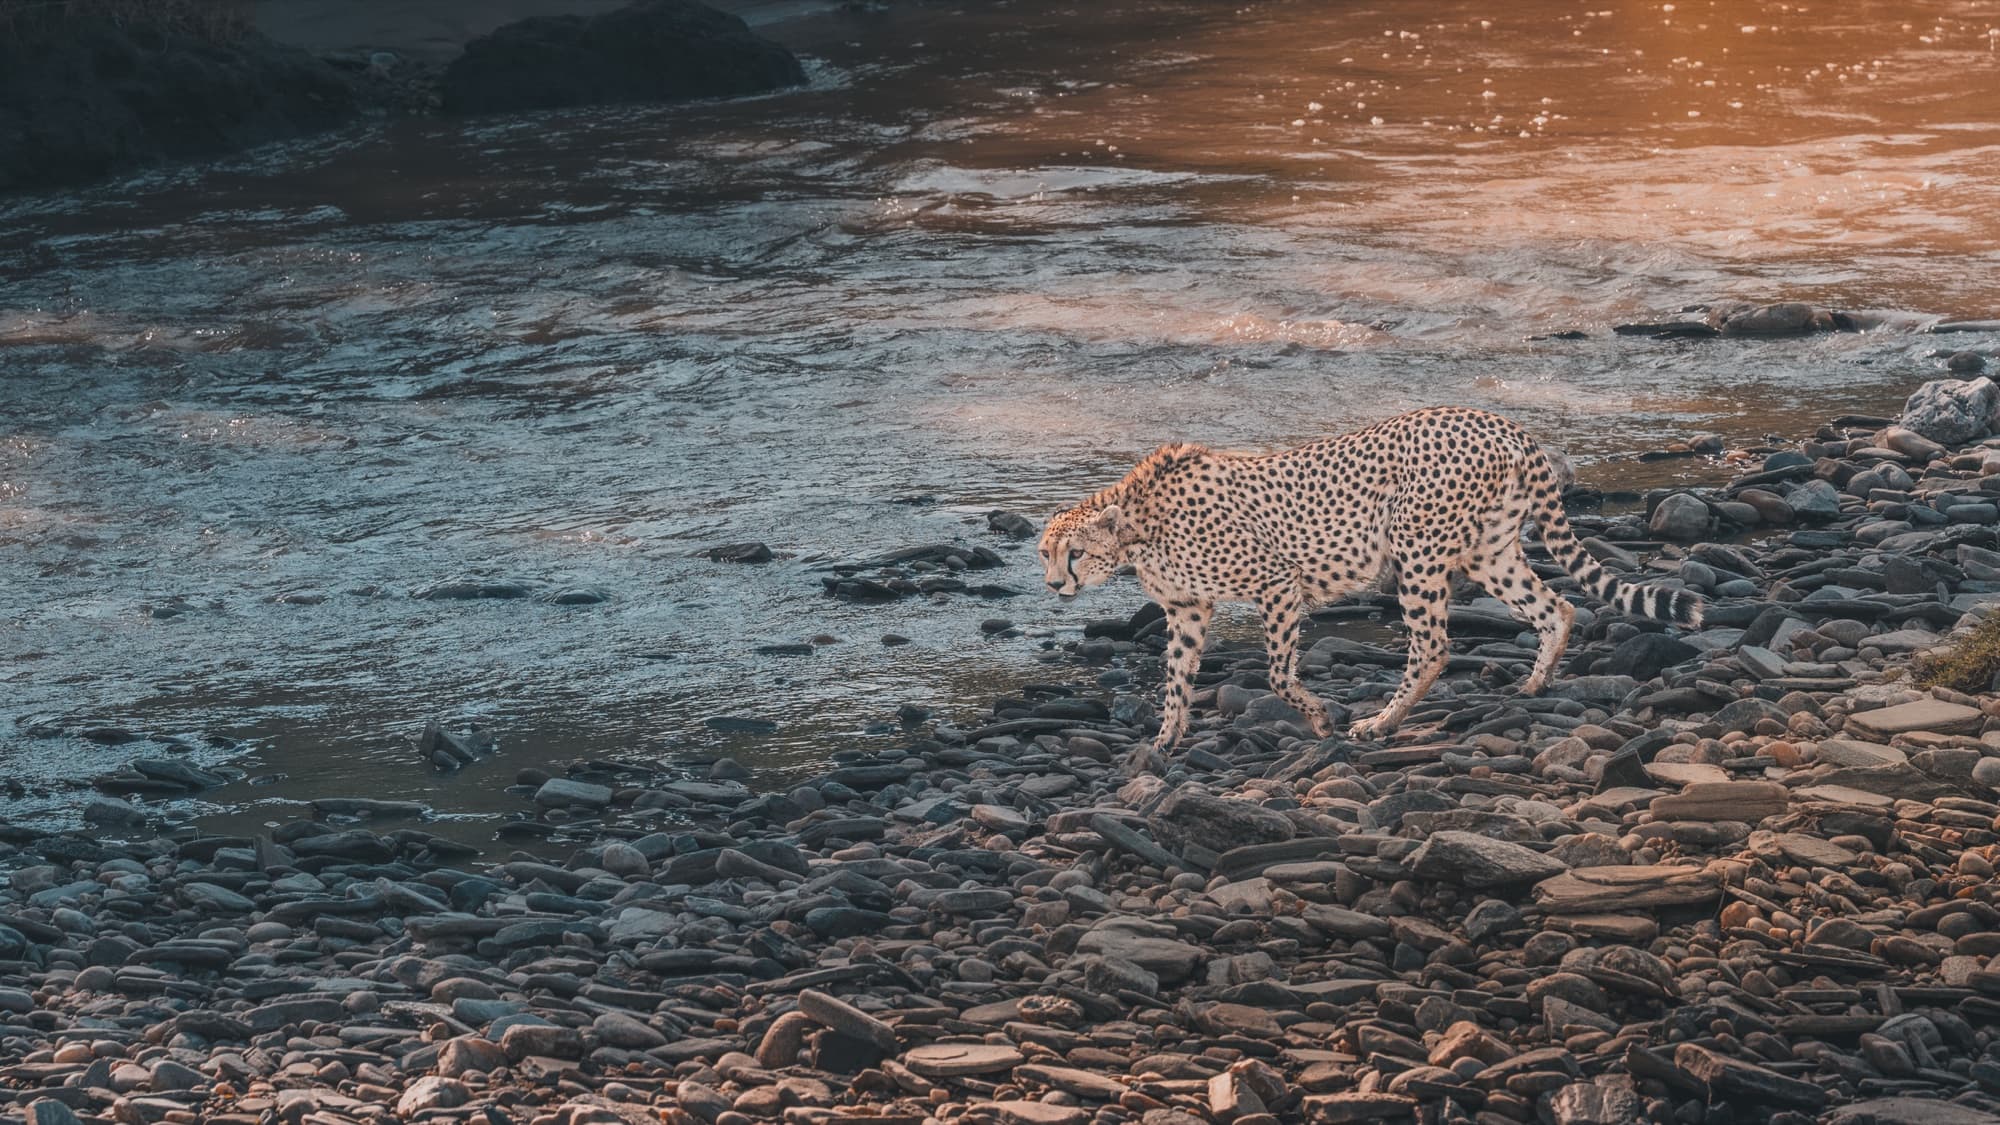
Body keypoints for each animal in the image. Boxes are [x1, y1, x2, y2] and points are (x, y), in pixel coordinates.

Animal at [1039, 406, 1703, 764]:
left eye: (1075, 553)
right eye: (1046, 553)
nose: (1052, 585)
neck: (1137, 525)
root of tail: (1500, 422)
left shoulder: (1278, 583)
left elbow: (1277, 674)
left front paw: (1319, 721)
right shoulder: (1188, 610)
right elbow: (1177, 679)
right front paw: (1164, 740)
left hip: (1417, 551)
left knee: (1432, 646)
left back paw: (1380, 724)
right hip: (1488, 552)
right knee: (1556, 607)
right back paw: (1535, 684)